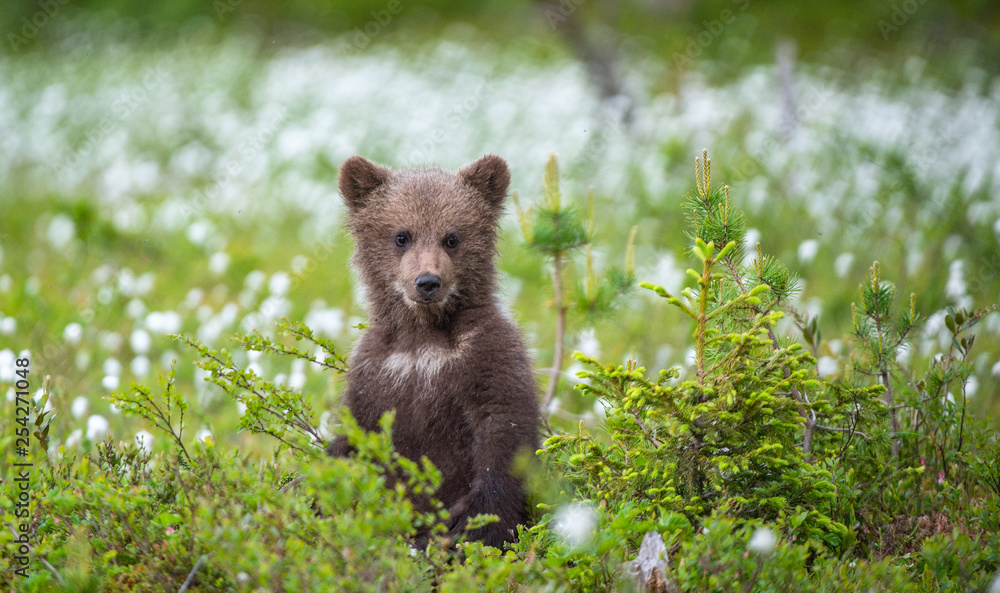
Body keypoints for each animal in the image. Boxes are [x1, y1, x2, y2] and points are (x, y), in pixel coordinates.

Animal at [328, 154, 541, 548]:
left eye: (452, 237)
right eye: (402, 235)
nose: (427, 281)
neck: (424, 338)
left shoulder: (487, 354)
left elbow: (503, 430)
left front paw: (472, 526)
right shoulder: (377, 371)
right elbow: (357, 435)